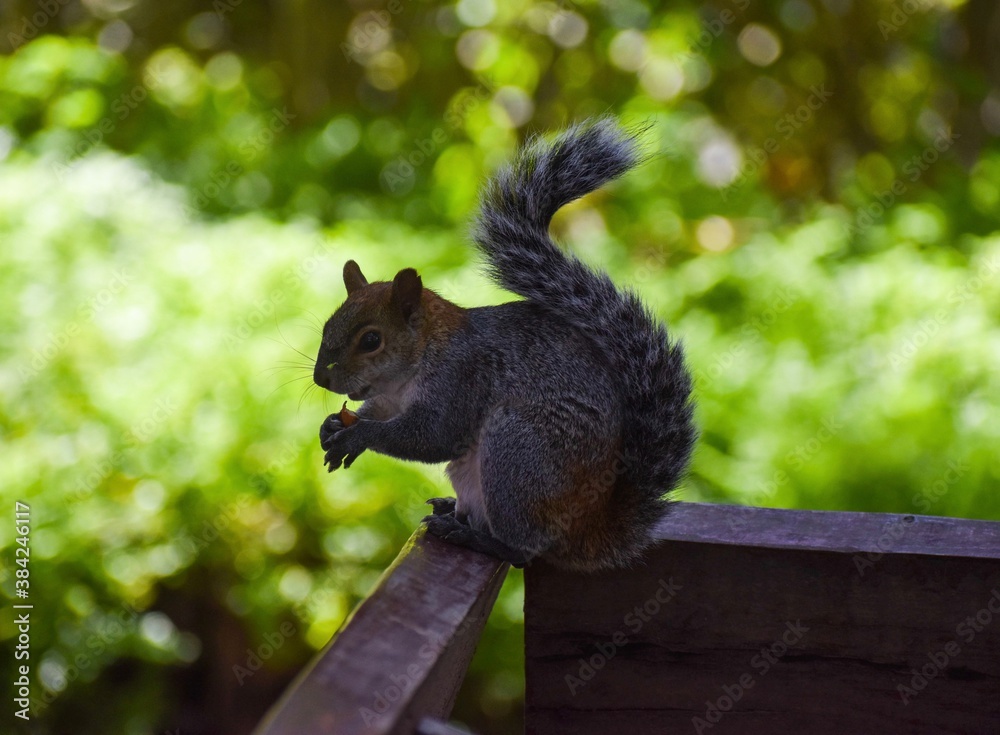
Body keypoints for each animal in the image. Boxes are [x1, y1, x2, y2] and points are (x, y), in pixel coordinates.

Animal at [313, 119, 695, 571]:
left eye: (371, 340)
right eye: (327, 325)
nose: (320, 379)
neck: (417, 361)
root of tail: (589, 530)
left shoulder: (461, 378)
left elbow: (432, 435)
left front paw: (358, 436)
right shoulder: (389, 399)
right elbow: (378, 413)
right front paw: (334, 425)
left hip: (520, 452)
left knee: (523, 549)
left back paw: (477, 538)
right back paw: (453, 511)